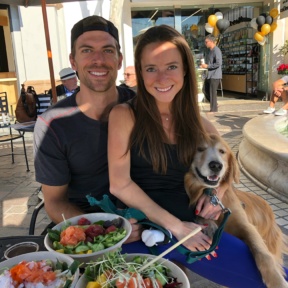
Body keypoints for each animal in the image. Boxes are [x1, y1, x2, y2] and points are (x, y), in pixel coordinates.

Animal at [184, 134, 288, 286]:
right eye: (200, 149)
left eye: (222, 151)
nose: (216, 165)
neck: (211, 194)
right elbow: (201, 215)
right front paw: (209, 225)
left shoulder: (245, 226)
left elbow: (263, 253)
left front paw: (276, 281)